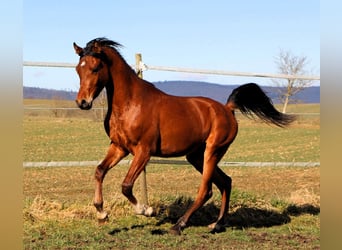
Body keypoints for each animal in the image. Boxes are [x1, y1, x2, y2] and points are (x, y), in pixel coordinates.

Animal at [73, 37, 294, 234]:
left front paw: (146, 210)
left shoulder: (143, 151)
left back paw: (179, 225)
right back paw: (217, 224)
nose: (82, 103)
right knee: (225, 182)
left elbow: (126, 185)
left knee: (206, 189)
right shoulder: (119, 147)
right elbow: (99, 171)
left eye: (95, 68)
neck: (130, 104)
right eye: (78, 69)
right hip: (195, 156)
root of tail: (227, 108)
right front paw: (102, 214)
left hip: (212, 151)